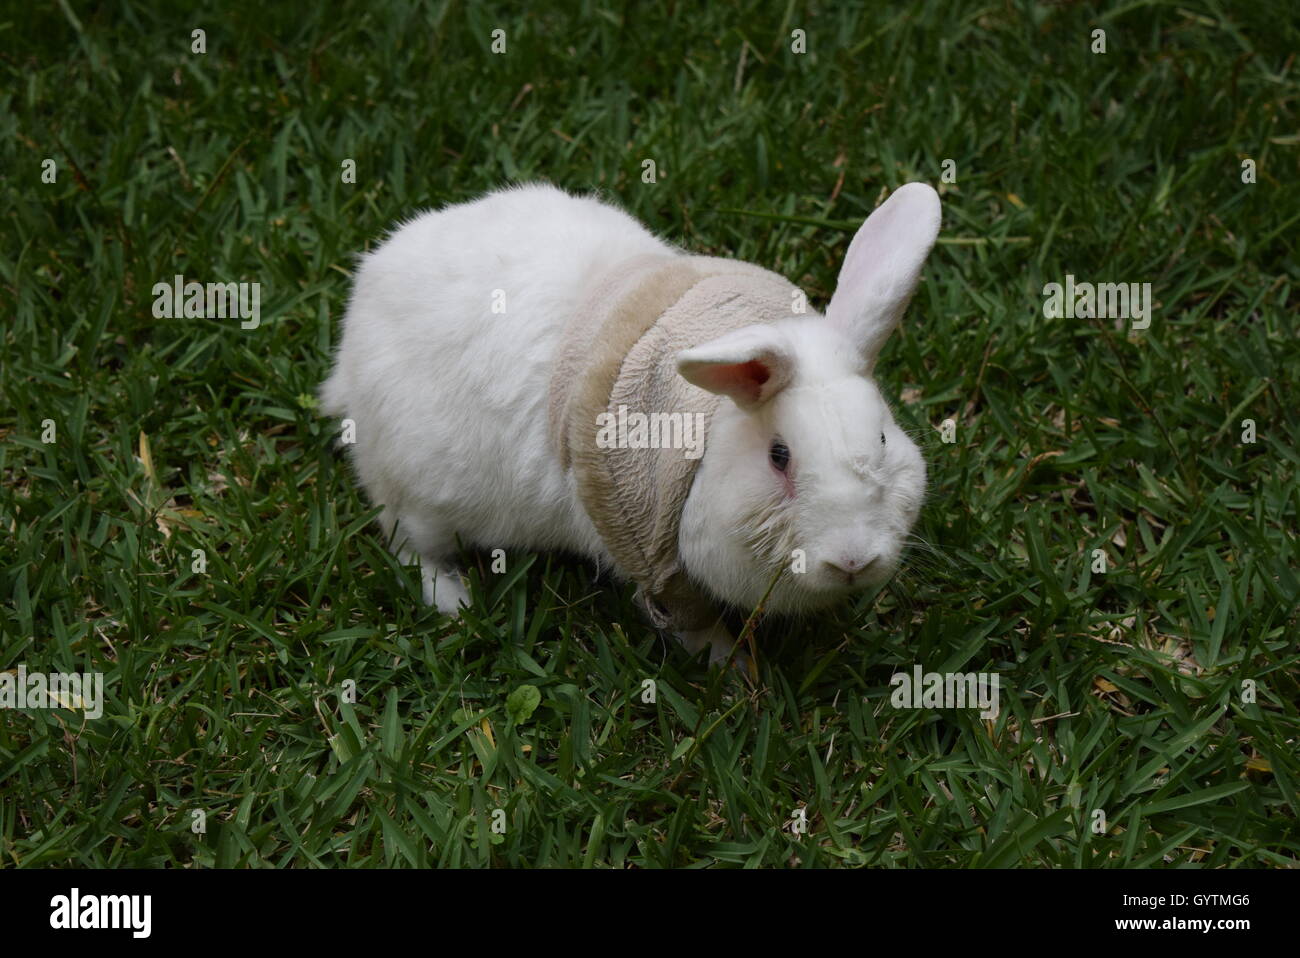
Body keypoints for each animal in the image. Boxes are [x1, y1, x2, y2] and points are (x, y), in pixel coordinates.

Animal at [321, 181, 941, 667]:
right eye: (779, 456)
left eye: (883, 437)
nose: (853, 560)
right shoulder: (653, 560)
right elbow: (694, 628)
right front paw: (737, 671)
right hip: (417, 499)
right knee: (409, 547)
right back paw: (456, 601)